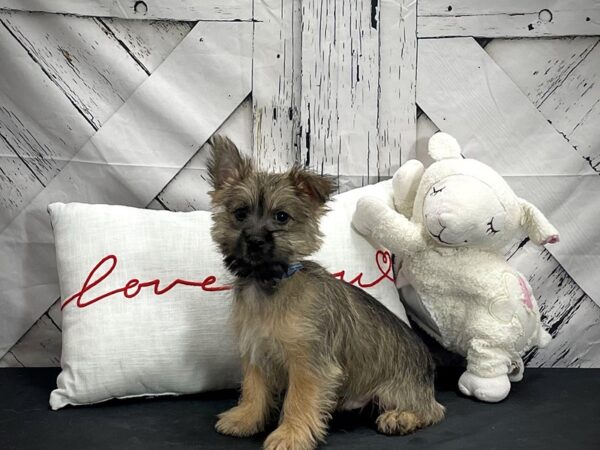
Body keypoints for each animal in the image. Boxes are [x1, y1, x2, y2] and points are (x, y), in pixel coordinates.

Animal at [209, 137, 442, 450]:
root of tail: (428, 365)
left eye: (281, 217)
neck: (271, 282)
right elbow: (253, 389)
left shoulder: (309, 364)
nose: (255, 240)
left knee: (430, 411)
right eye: (240, 214)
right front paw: (245, 419)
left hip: (397, 389)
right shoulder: (257, 354)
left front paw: (290, 435)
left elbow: (298, 400)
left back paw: (400, 418)